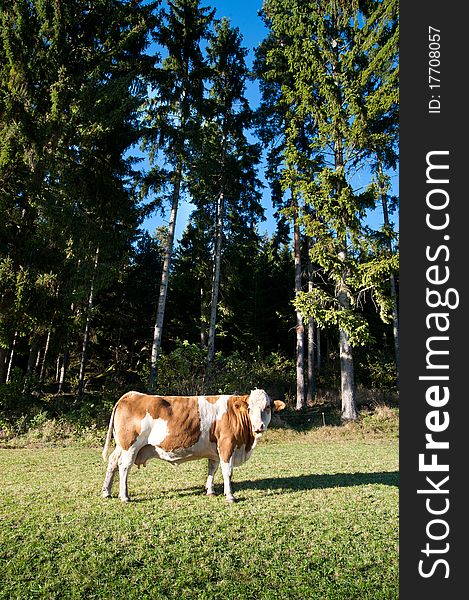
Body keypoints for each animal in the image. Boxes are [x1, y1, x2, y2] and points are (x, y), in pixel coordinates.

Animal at [101, 390, 286, 502]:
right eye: (249, 408)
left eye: (267, 407)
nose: (259, 426)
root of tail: (131, 394)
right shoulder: (227, 444)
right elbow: (227, 471)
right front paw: (230, 496)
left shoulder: (215, 450)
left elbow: (212, 469)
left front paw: (210, 491)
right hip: (130, 446)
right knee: (124, 466)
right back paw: (124, 496)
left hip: (121, 445)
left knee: (112, 462)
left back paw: (106, 492)